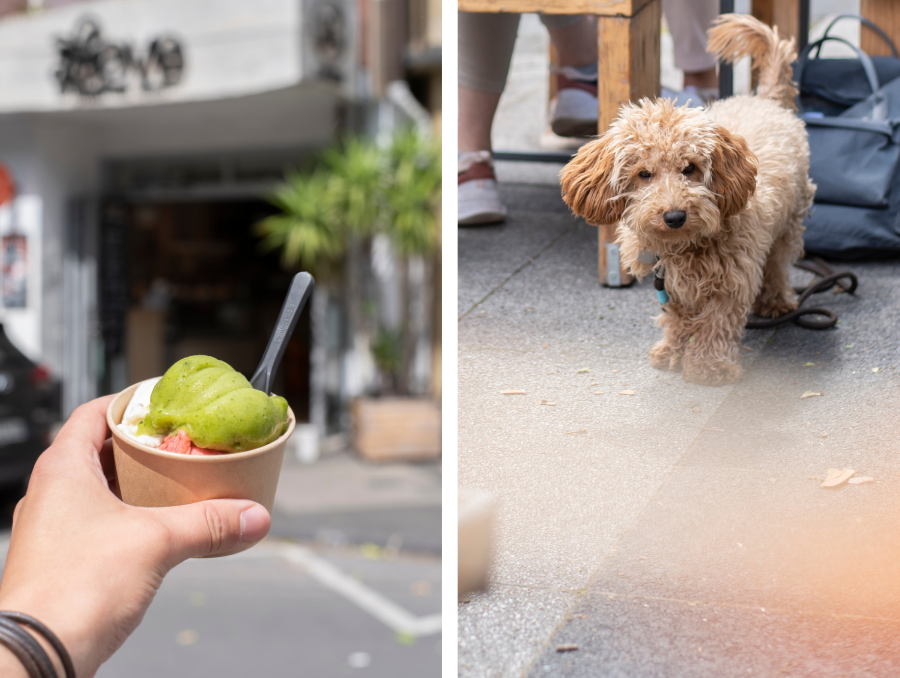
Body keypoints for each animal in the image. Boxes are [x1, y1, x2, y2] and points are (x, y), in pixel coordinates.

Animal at [560, 14, 812, 388]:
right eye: (644, 174)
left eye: (690, 168)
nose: (674, 215)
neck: (684, 247)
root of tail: (767, 100)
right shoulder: (669, 284)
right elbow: (677, 316)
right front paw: (673, 351)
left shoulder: (732, 279)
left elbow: (717, 322)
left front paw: (709, 365)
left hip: (789, 222)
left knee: (778, 265)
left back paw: (777, 301)